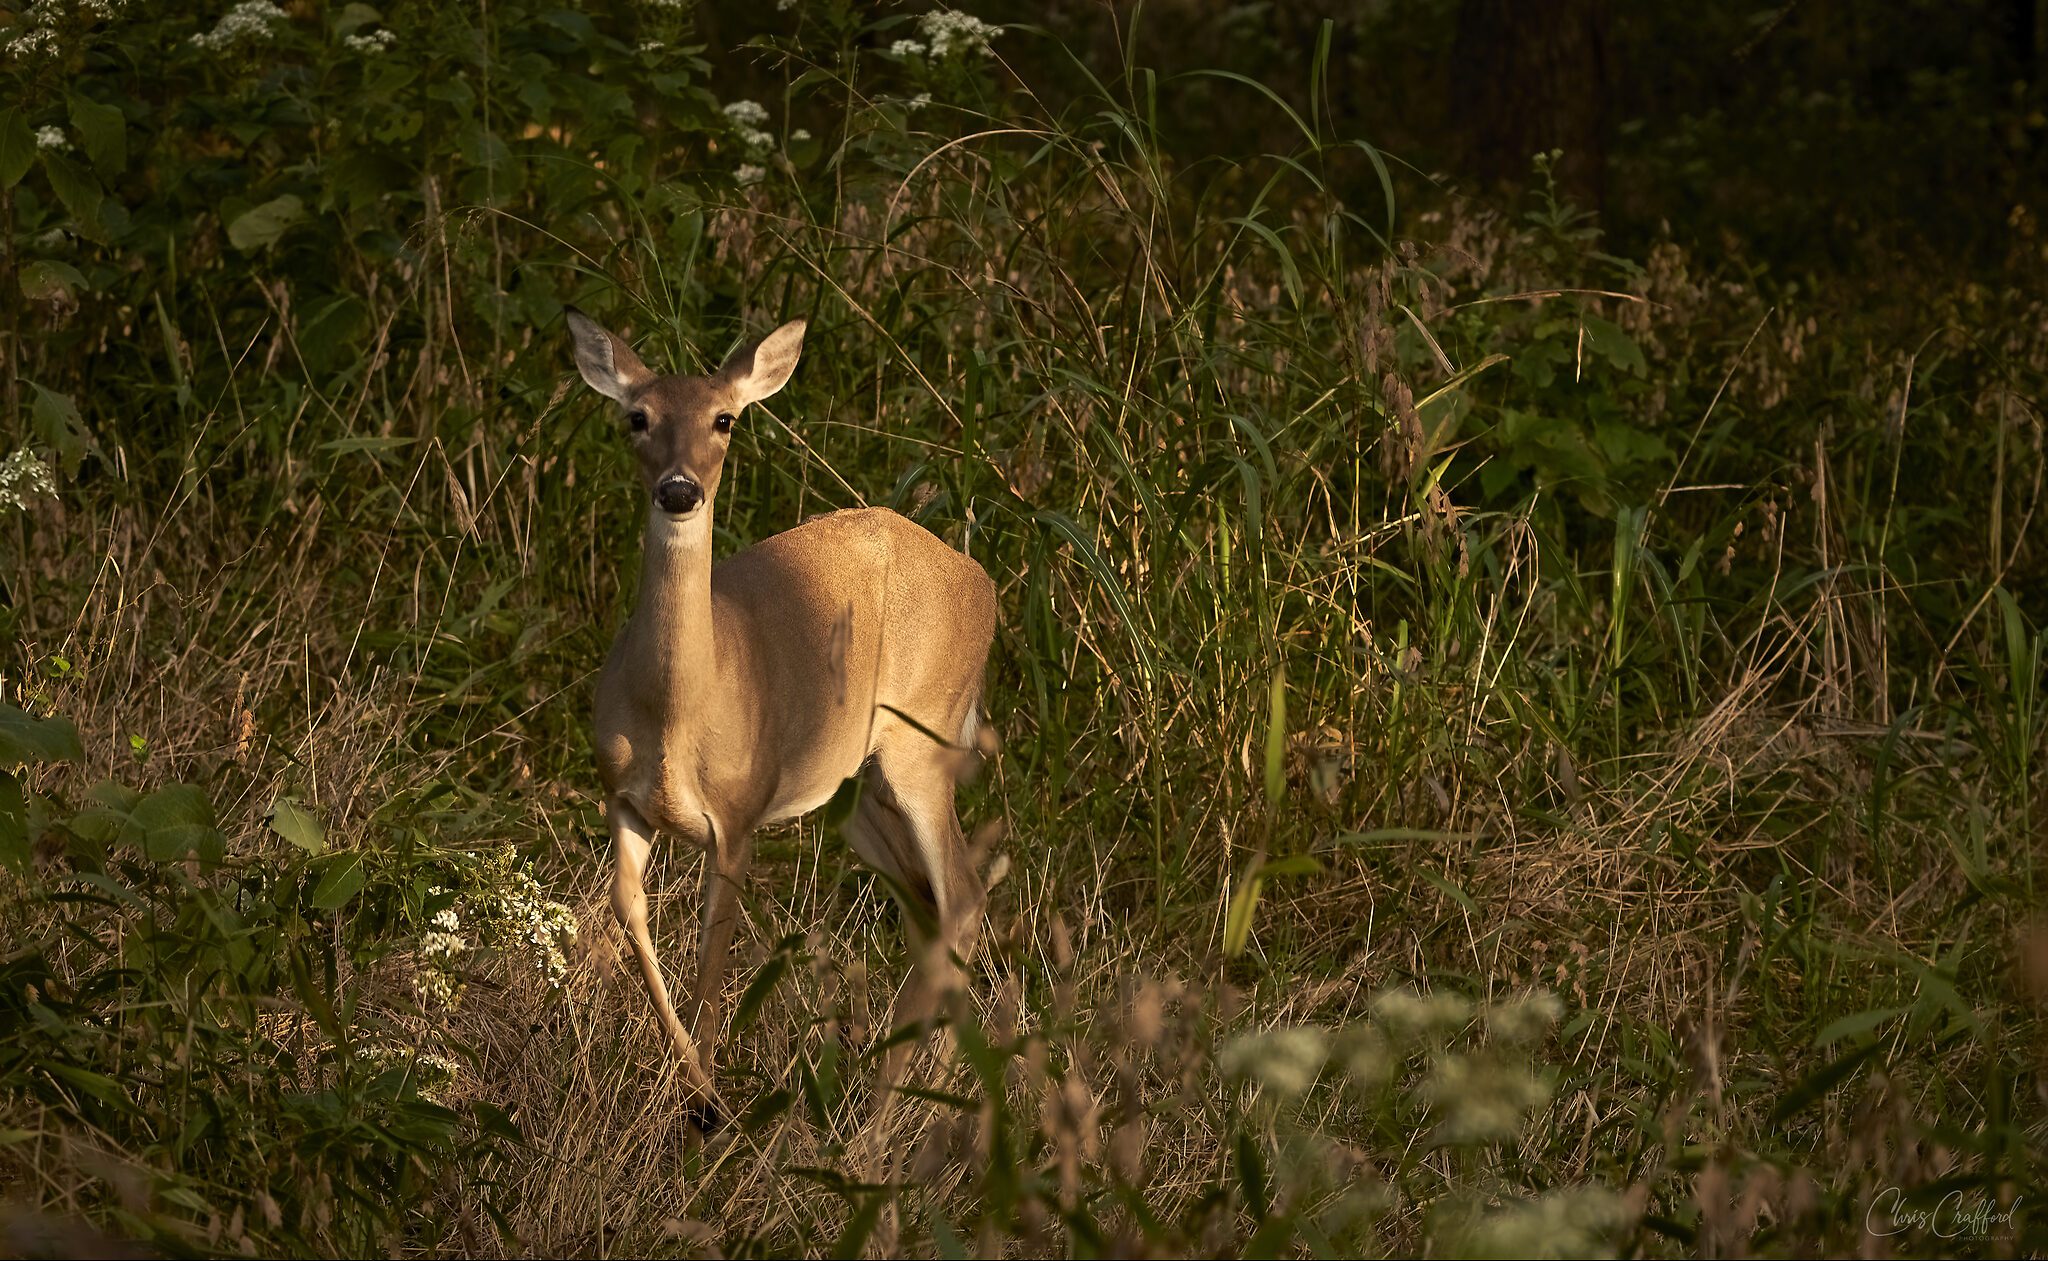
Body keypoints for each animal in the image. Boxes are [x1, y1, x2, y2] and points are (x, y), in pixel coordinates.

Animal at [569, 307, 999, 1129]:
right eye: (637, 416)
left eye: (725, 419)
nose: (679, 490)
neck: (680, 712)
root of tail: (984, 583)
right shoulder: (622, 797)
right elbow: (630, 914)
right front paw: (694, 1088)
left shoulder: (738, 815)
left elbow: (713, 956)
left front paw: (708, 1102)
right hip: (855, 792)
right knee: (930, 905)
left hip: (922, 743)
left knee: (963, 893)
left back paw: (886, 1126)